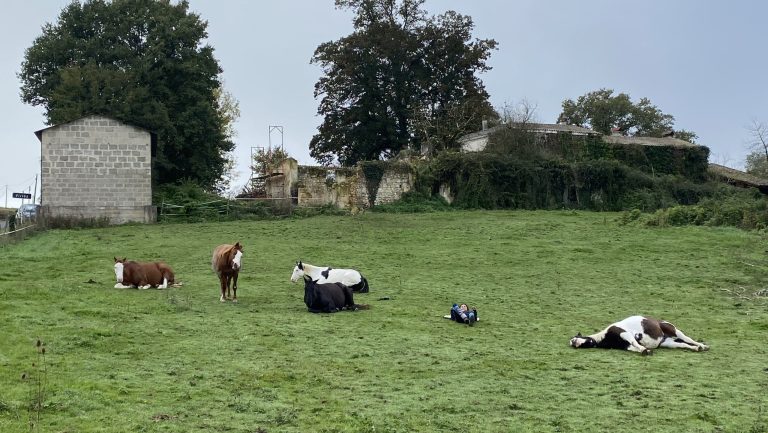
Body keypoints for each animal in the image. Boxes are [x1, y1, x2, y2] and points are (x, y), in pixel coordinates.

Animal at [568, 314, 708, 354]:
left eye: (577, 337)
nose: (573, 342)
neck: (605, 336)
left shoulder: (625, 334)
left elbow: (636, 343)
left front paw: (645, 350)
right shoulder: (627, 346)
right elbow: (635, 348)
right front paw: (645, 350)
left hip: (673, 330)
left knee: (687, 339)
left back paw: (702, 345)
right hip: (669, 343)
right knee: (684, 345)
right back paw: (697, 348)